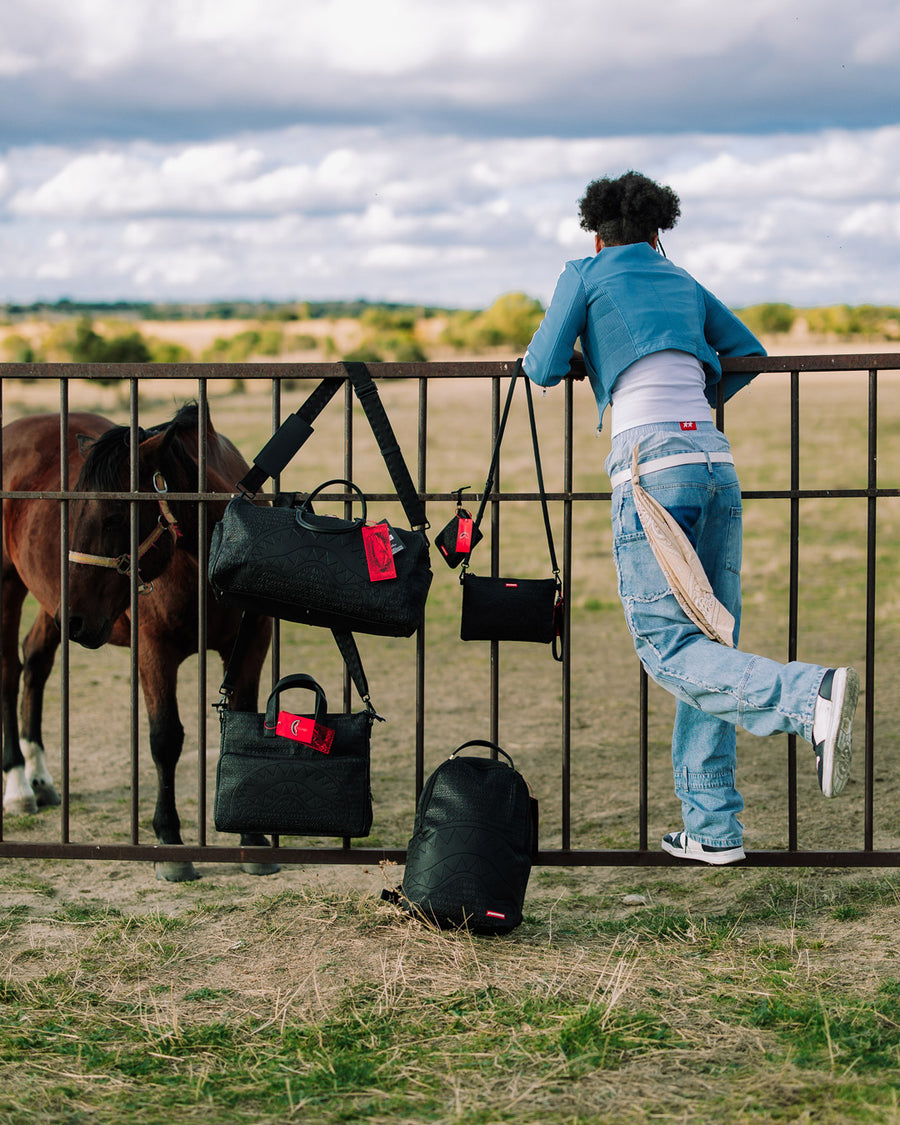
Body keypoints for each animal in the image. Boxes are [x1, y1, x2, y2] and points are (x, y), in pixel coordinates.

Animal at [0, 400, 274, 882]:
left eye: (115, 519)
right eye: (72, 514)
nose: (75, 621)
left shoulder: (251, 644)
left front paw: (252, 839)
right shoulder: (153, 650)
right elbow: (165, 739)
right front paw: (171, 843)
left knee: (34, 662)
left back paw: (40, 777)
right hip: (11, 585)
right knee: (9, 672)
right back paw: (17, 784)